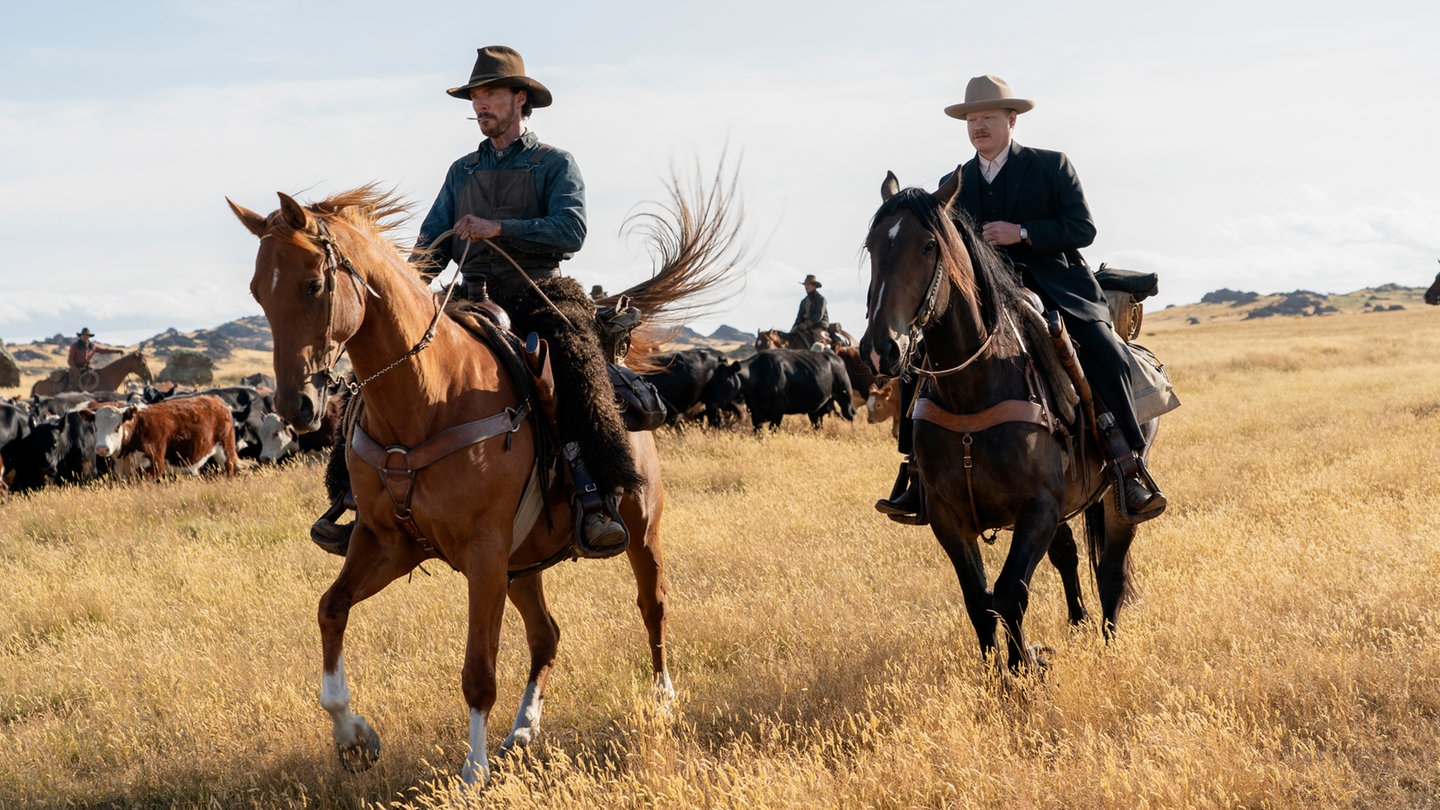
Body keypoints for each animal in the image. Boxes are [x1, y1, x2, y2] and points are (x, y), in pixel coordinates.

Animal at [92, 392, 236, 475]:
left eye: (117, 426)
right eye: (96, 427)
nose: (102, 448)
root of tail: (217, 400)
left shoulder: (153, 466)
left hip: (226, 454)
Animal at [227, 176, 743, 784]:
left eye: (312, 284)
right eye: (259, 293)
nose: (297, 407)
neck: (429, 395)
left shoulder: (483, 550)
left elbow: (477, 668)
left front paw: (473, 771)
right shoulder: (387, 543)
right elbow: (331, 609)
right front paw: (354, 737)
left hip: (639, 531)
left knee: (652, 607)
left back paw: (661, 700)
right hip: (522, 565)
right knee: (546, 634)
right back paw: (523, 730)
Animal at [711, 350, 852, 432]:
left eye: (725, 379)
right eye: (713, 379)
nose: (715, 402)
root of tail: (836, 358)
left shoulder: (778, 410)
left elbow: (773, 430)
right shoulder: (756, 412)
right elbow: (758, 433)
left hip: (846, 397)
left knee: (850, 416)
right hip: (815, 409)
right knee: (817, 424)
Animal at [858, 173, 1152, 671]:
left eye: (928, 246)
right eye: (872, 245)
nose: (882, 349)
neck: (974, 389)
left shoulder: (1037, 508)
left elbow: (1010, 594)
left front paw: (1024, 669)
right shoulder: (948, 517)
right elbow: (979, 601)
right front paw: (1000, 675)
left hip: (1117, 500)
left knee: (1111, 567)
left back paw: (1108, 644)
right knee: (1068, 553)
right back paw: (1078, 622)